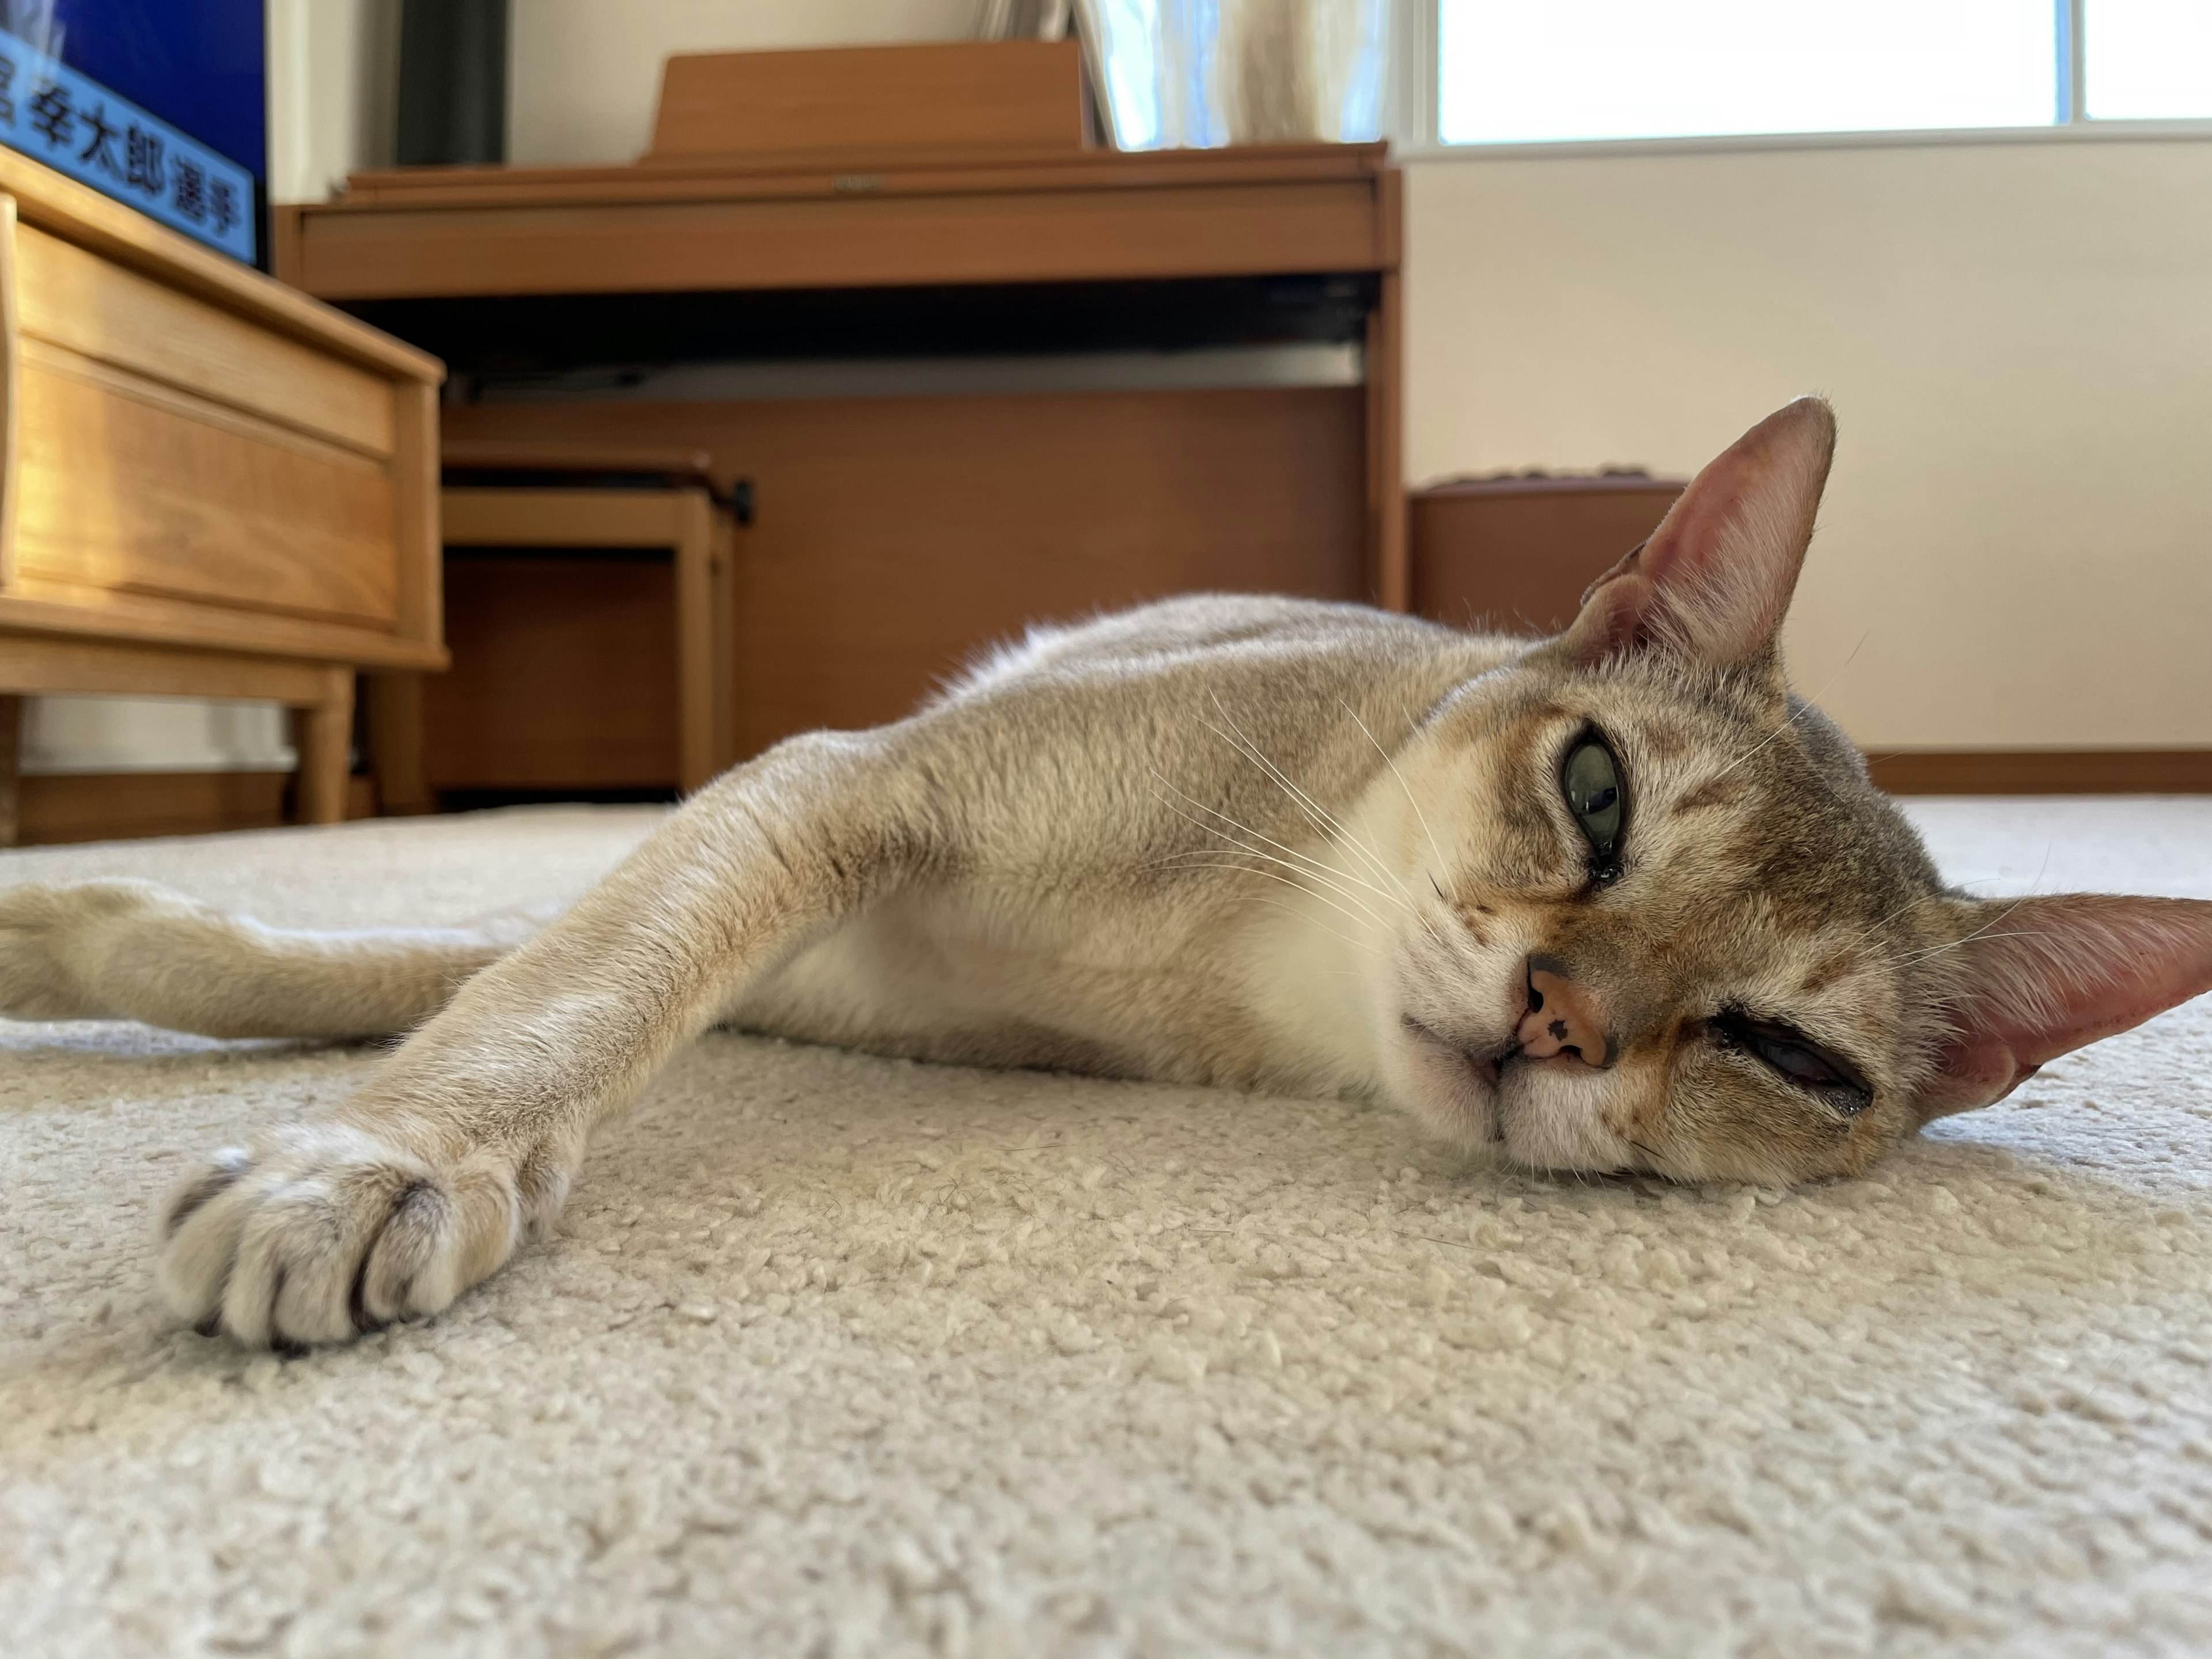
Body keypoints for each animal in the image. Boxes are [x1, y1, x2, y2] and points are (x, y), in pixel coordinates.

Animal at [4, 400, 2212, 1354]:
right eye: (1596, 794)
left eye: (1791, 1059)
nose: (1557, 1020)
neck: (1241, 947)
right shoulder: (826, 798)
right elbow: (548, 987)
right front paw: (377, 1164)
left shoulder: (827, 962)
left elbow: (449, 970)